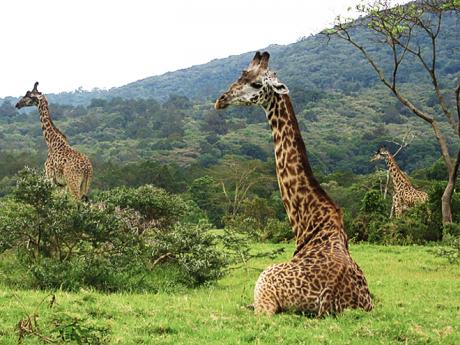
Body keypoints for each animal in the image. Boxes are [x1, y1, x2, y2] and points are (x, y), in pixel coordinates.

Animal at [216, 50, 374, 314]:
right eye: (241, 75)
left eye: (256, 84)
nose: (221, 100)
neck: (310, 222)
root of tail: (329, 298)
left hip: (265, 281)